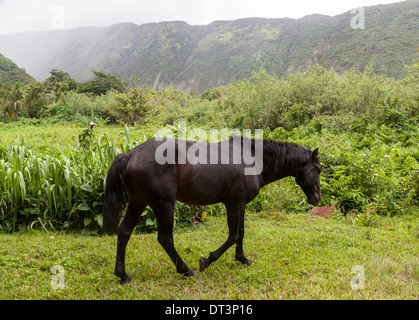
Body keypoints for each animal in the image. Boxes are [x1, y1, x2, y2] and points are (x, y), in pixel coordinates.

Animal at [102, 136, 322, 284]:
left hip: (138, 202)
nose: (317, 198)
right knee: (165, 239)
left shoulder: (241, 204)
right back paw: (185, 270)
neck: (252, 159)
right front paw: (206, 261)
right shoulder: (233, 204)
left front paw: (242, 258)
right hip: (163, 204)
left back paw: (123, 275)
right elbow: (233, 236)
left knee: (124, 232)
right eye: (318, 169)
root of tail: (131, 153)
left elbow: (241, 232)